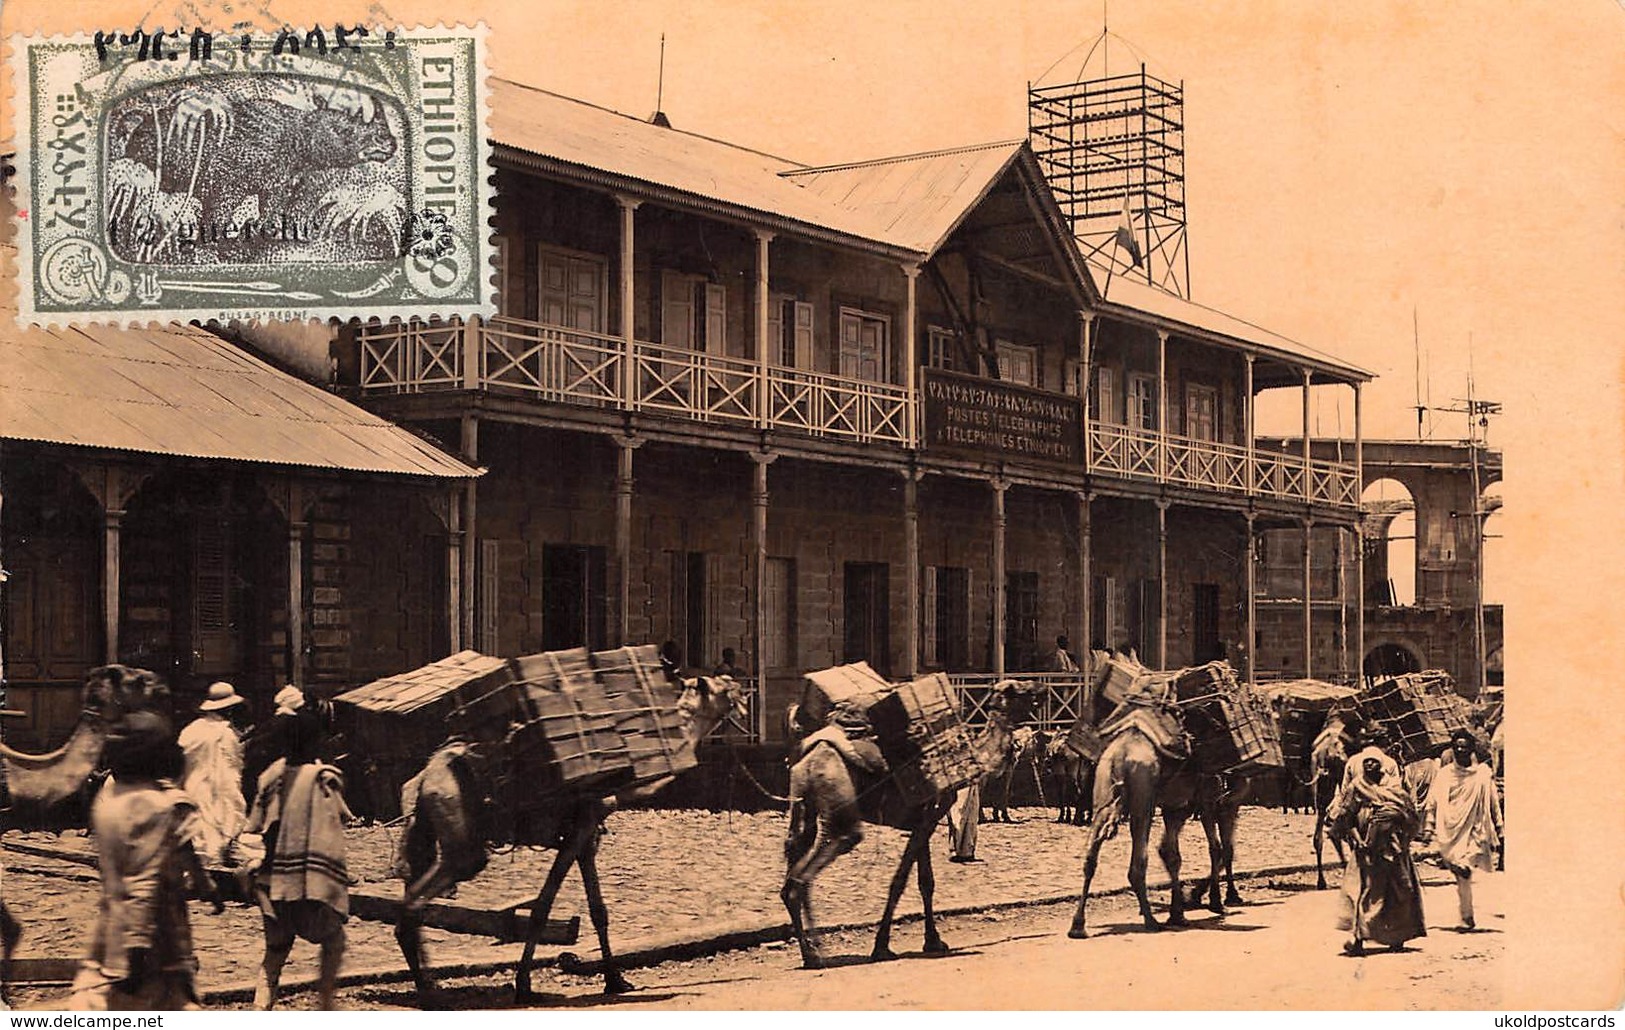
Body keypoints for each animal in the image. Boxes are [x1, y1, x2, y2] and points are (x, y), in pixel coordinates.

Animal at [390, 669, 744, 1000]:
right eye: (722, 687)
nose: (742, 692)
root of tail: (423, 781)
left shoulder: (589, 837)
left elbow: (598, 910)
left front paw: (616, 981)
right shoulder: (579, 829)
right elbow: (542, 908)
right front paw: (523, 984)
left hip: (427, 830)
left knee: (410, 892)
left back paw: (427, 984)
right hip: (461, 837)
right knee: (417, 901)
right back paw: (431, 991)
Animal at [783, 679, 1033, 968]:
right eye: (1016, 689)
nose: (1039, 686)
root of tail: (811, 756)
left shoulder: (922, 819)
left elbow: (926, 882)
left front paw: (933, 941)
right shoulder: (928, 816)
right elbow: (900, 881)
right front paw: (881, 947)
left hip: (802, 806)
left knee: (791, 868)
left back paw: (808, 952)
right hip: (839, 807)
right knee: (804, 876)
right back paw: (817, 953)